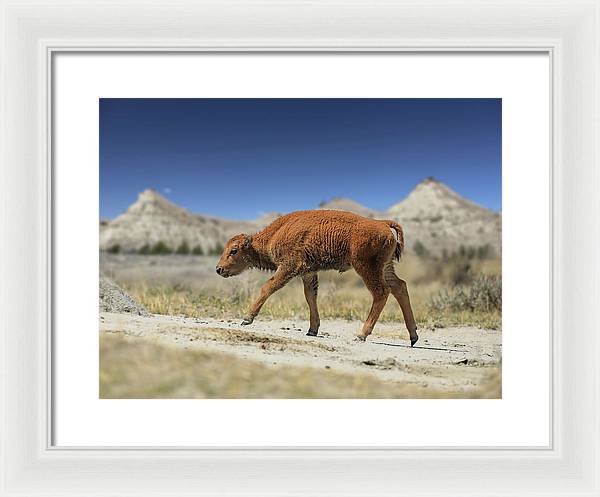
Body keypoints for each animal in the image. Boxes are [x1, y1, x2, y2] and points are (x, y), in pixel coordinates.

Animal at [214, 209, 418, 344]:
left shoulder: (289, 267)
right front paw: (312, 330)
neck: (274, 235)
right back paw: (413, 336)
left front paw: (247, 318)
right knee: (400, 287)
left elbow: (268, 287)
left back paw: (361, 334)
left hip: (366, 268)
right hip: (386, 267)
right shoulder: (308, 273)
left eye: (234, 250)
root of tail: (382, 223)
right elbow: (310, 297)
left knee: (381, 292)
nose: (219, 269)